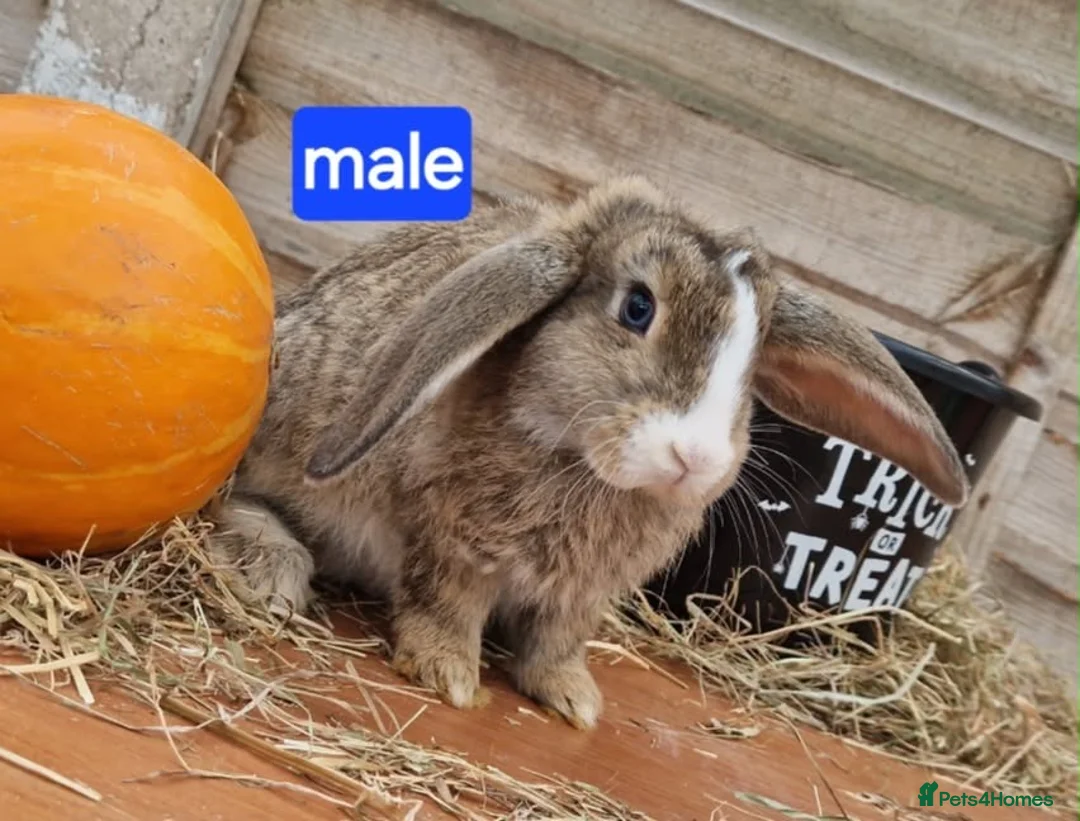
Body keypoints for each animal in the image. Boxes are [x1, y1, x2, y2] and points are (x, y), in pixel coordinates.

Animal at [206, 175, 969, 730]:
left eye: (755, 359)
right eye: (637, 307)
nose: (695, 457)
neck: (585, 468)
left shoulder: (579, 597)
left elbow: (557, 644)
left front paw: (575, 701)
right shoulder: (452, 546)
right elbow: (443, 609)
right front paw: (449, 678)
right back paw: (272, 572)